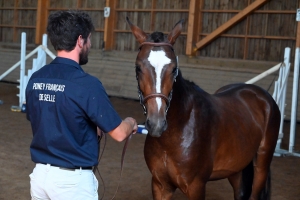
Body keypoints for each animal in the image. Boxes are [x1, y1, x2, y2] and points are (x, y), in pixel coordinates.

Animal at [125, 17, 280, 200]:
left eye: (174, 69)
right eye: (138, 68)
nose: (156, 124)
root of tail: (261, 95)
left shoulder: (196, 187)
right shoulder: (160, 186)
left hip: (261, 166)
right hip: (235, 169)